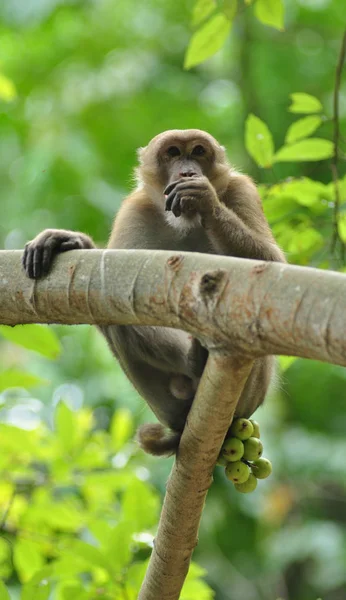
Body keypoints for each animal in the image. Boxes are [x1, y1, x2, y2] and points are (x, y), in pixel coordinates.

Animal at [22, 130, 286, 454]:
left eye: (198, 152)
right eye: (173, 153)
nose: (187, 171)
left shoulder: (242, 190)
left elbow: (273, 271)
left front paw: (205, 200)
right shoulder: (135, 210)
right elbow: (107, 289)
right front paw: (71, 241)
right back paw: (191, 372)